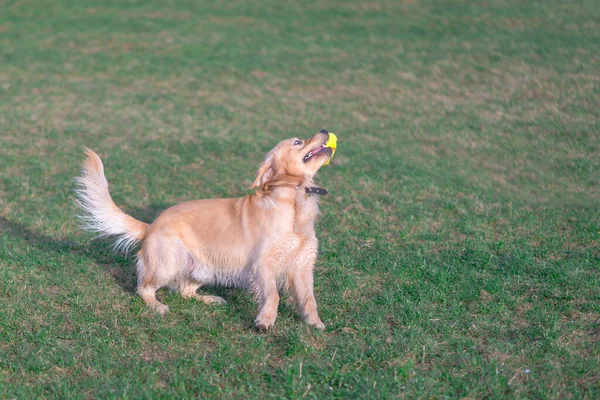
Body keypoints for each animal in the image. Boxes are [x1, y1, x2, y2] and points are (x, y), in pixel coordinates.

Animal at [75, 130, 336, 330]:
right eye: (297, 142)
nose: (324, 130)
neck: (293, 203)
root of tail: (150, 226)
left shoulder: (303, 267)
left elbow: (308, 299)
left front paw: (315, 323)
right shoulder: (263, 265)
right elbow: (273, 295)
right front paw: (265, 321)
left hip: (204, 269)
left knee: (185, 291)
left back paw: (211, 299)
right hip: (168, 264)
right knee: (143, 288)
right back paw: (158, 306)